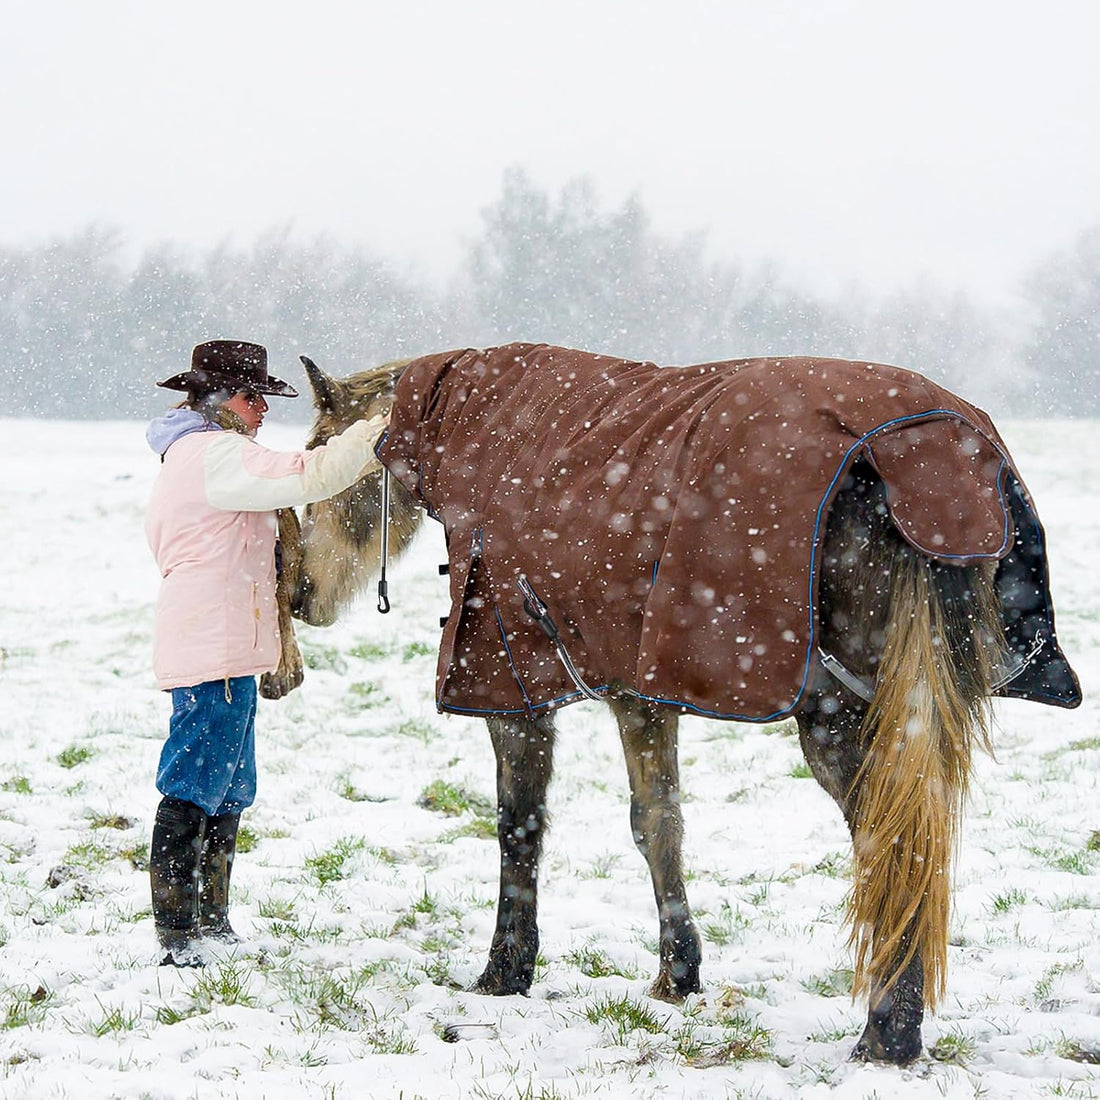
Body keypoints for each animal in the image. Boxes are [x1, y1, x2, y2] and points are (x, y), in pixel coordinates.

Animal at [286, 343, 1079, 1065]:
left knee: (891, 840)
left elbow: (523, 825)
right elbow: (659, 823)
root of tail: (927, 453)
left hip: (841, 717)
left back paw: (887, 1032)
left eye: (320, 459)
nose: (300, 596)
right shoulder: (643, 689)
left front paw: (505, 973)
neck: (495, 428)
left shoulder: (514, 685)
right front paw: (678, 973)